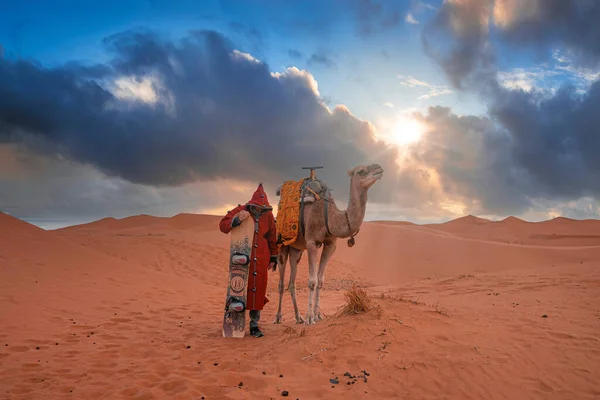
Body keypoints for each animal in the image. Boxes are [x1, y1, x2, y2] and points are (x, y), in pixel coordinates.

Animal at [274, 162, 382, 324]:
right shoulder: (312, 242)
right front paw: (310, 317)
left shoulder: (330, 244)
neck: (330, 217)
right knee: (281, 283)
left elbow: (320, 280)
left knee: (291, 282)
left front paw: (318, 315)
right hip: (283, 245)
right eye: (361, 171)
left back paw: (298, 317)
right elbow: (312, 281)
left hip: (296, 250)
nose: (379, 168)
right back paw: (278, 317)